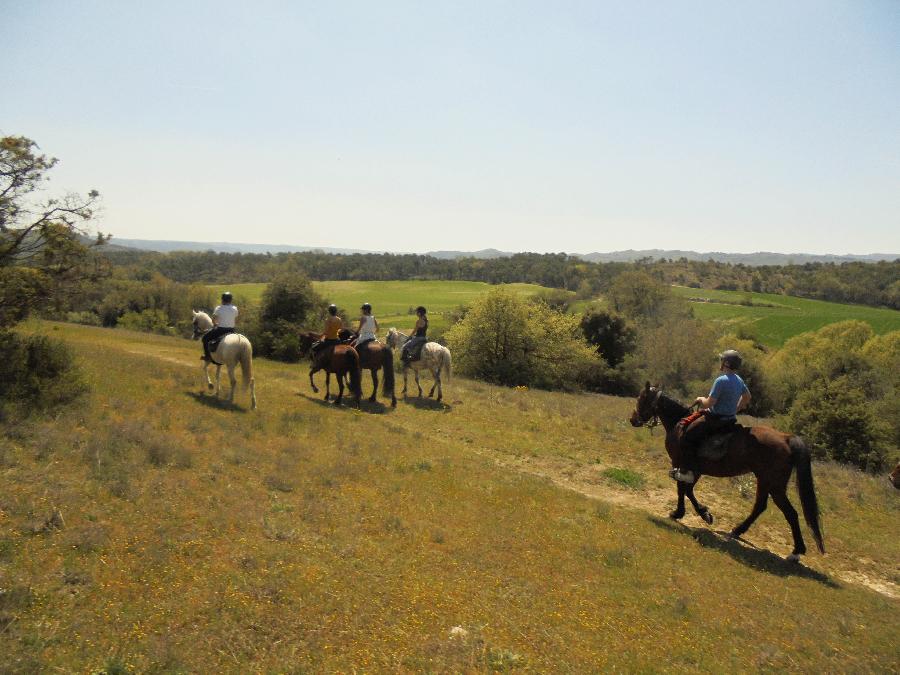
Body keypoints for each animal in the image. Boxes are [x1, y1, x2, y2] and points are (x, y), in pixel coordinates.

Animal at [624, 382, 824, 564]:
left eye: (641, 398)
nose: (633, 420)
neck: (679, 422)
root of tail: (786, 438)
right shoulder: (695, 469)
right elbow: (687, 490)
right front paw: (700, 513)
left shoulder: (683, 464)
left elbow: (683, 489)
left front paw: (687, 513)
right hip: (765, 480)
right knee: (760, 506)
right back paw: (737, 530)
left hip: (775, 485)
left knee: (791, 513)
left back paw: (796, 552)